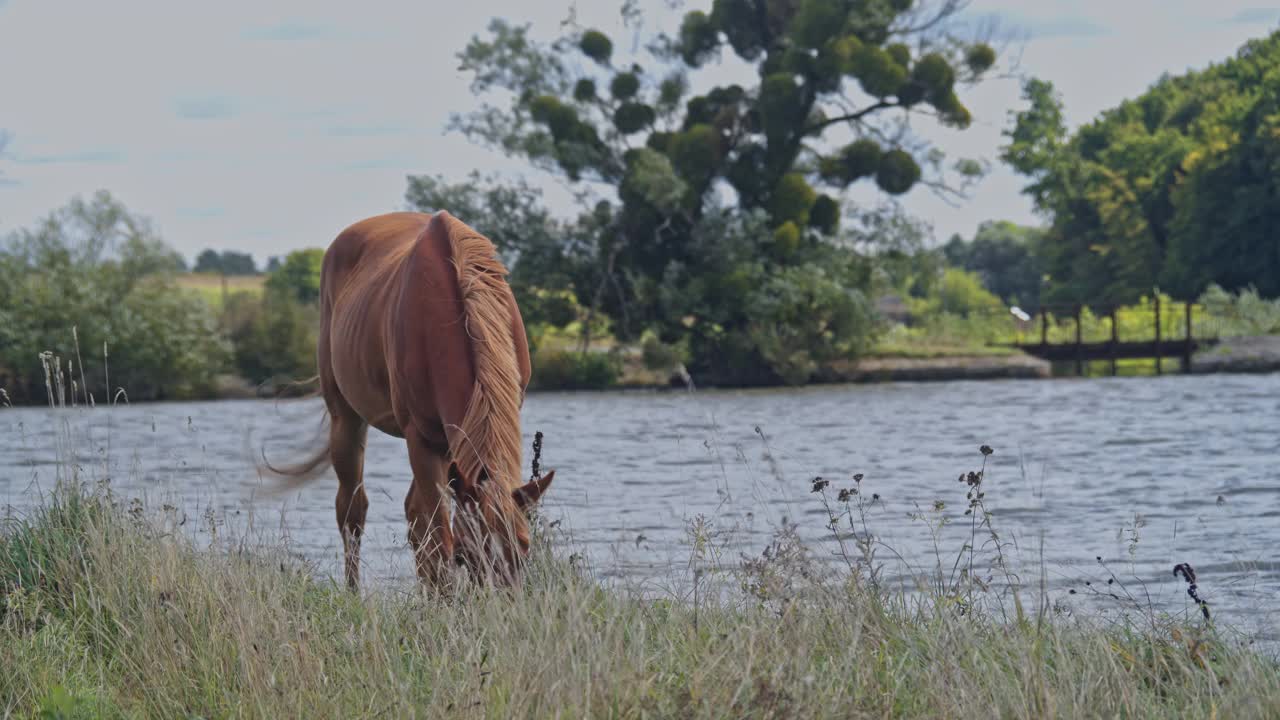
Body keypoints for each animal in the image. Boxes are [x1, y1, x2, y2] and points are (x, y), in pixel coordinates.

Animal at [267, 210, 552, 586]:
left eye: (523, 548)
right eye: (472, 556)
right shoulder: (423, 440)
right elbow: (439, 536)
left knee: (412, 515)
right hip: (347, 420)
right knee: (353, 512)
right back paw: (354, 590)